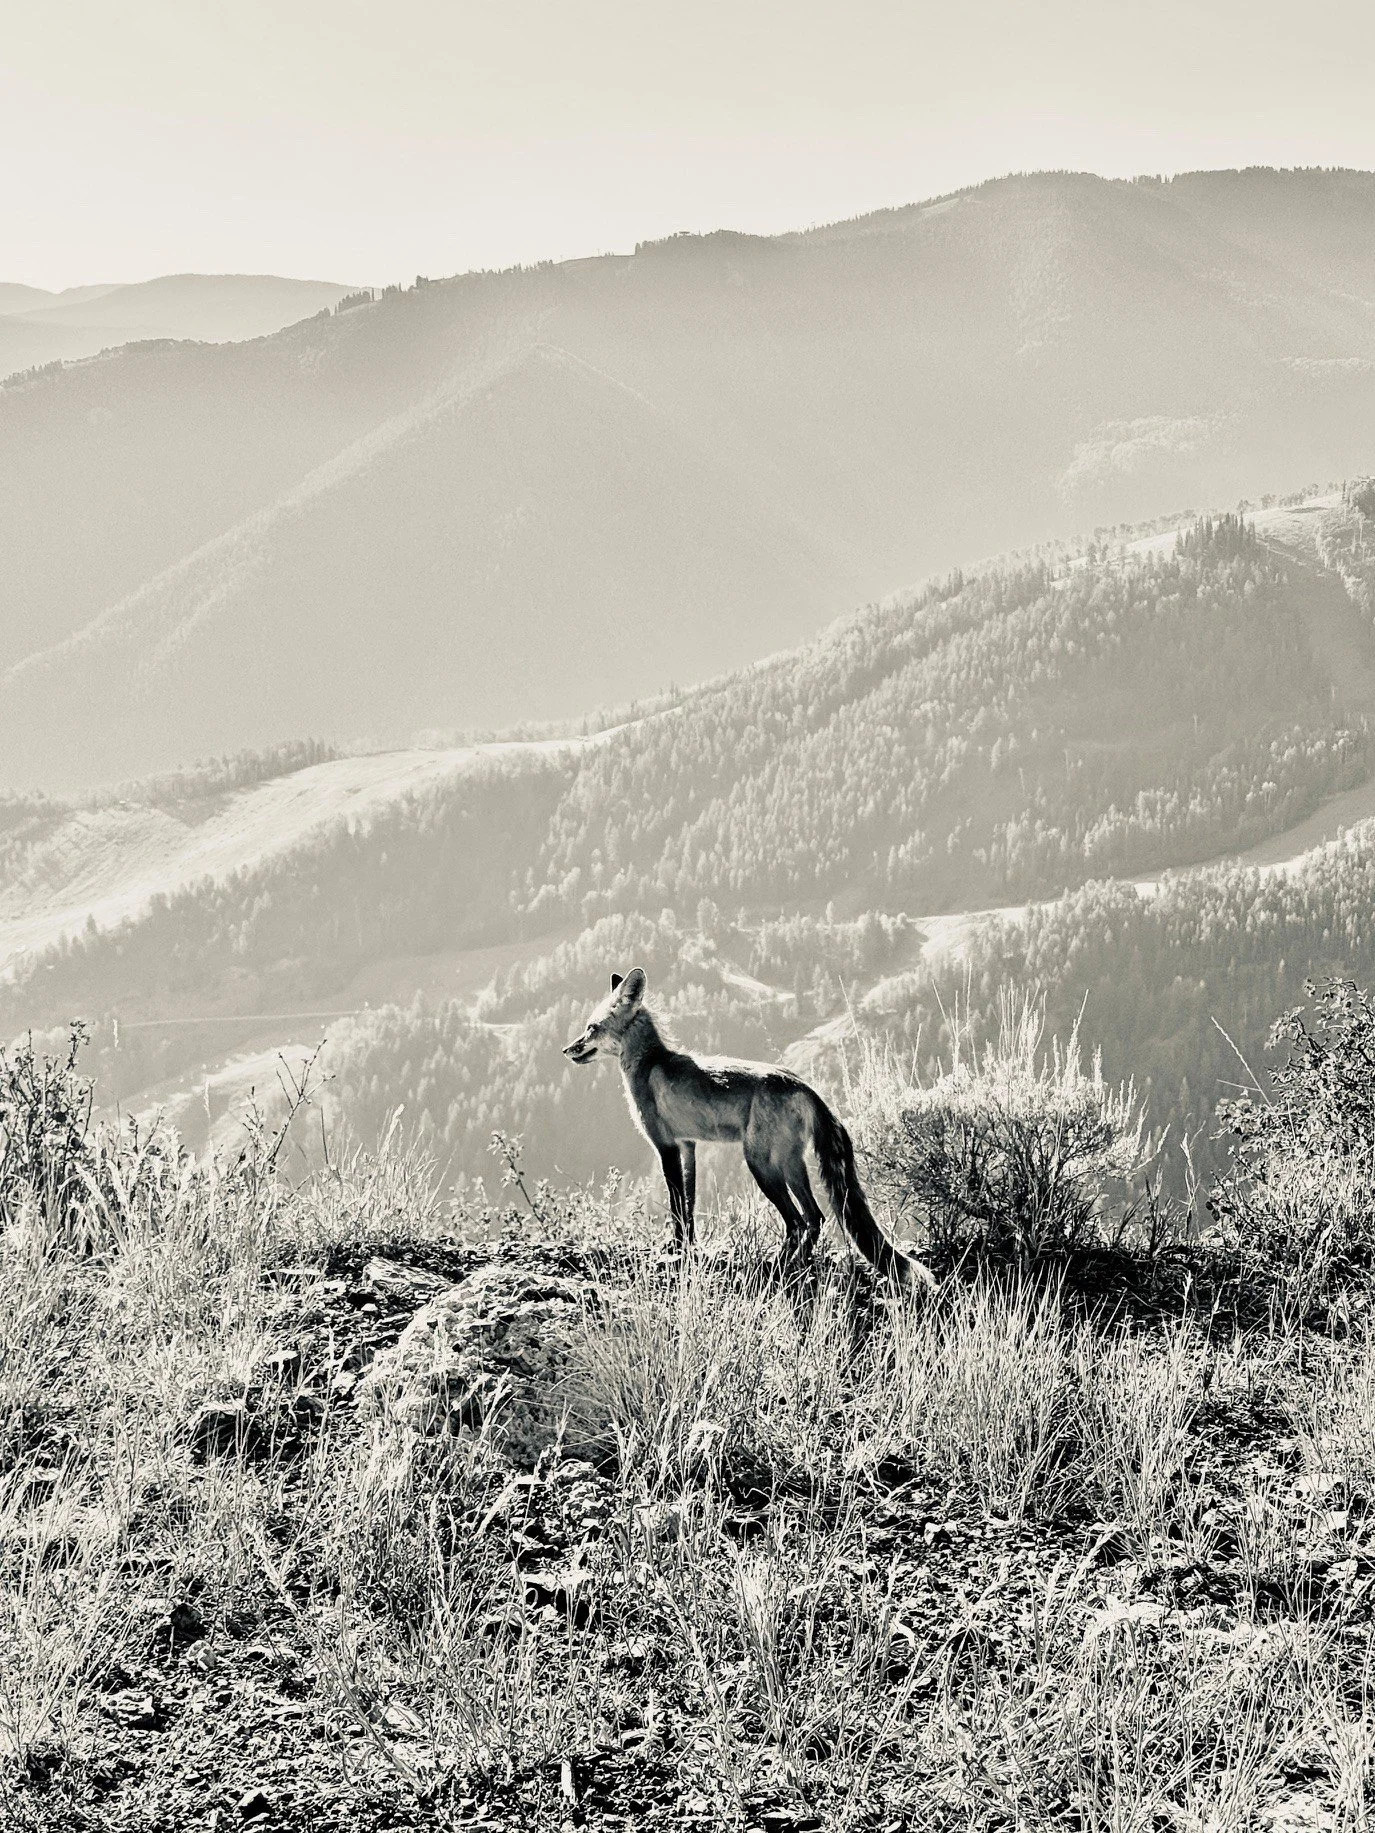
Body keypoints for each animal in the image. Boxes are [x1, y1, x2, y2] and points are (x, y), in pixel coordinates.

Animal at [563, 966, 923, 1281]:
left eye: (591, 1028)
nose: (566, 1049)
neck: (649, 1064)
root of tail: (804, 1086)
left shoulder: (665, 1146)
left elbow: (677, 1206)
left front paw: (676, 1250)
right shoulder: (688, 1146)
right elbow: (690, 1205)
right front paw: (689, 1247)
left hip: (760, 1165)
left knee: (796, 1222)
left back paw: (780, 1266)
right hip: (790, 1165)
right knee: (815, 1218)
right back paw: (800, 1265)